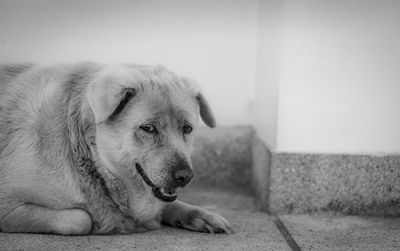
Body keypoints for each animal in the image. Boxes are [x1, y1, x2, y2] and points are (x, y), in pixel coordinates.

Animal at [0, 62, 234, 235]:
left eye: (187, 128)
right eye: (148, 128)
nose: (185, 176)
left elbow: (169, 204)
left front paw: (202, 215)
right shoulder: (7, 204)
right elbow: (81, 219)